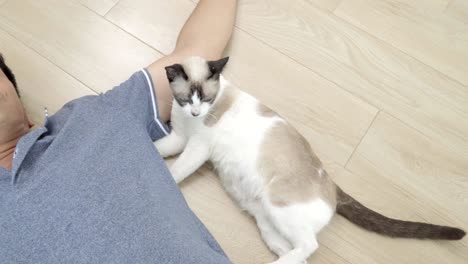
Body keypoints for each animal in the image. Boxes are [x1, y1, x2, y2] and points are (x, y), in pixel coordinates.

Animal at [154, 56, 464, 264]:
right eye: (187, 99)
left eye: (205, 98)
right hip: (268, 225)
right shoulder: (179, 139)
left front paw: (162, 177)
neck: (192, 118)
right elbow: (159, 150)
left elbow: (175, 171)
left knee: (310, 246)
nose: (196, 112)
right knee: (301, 255)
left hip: (278, 207)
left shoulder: (197, 148)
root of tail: (334, 187)